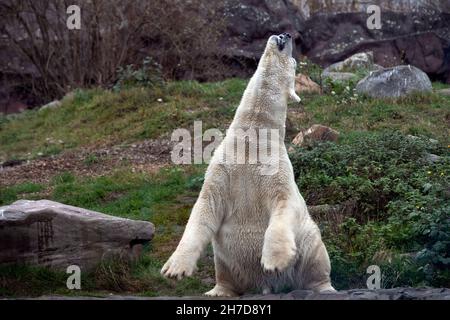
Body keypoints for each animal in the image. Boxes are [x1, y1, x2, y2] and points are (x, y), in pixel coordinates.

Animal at [161, 33, 334, 298]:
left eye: (294, 62)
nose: (286, 35)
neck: (251, 139)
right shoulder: (223, 167)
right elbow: (204, 206)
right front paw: (174, 268)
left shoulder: (276, 169)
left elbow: (284, 203)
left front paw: (275, 261)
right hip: (227, 260)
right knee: (225, 271)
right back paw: (218, 291)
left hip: (308, 241)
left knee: (316, 258)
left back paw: (323, 287)